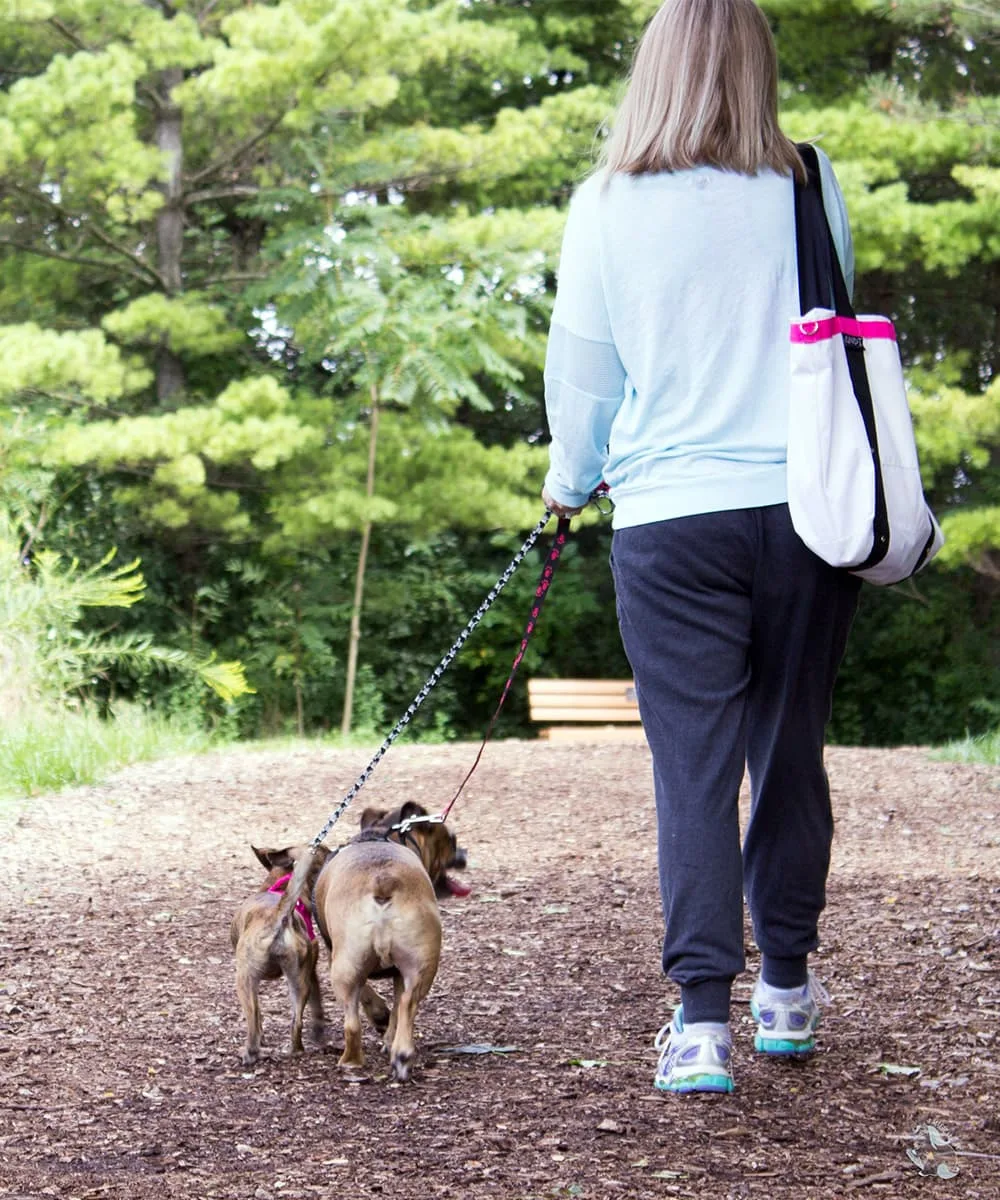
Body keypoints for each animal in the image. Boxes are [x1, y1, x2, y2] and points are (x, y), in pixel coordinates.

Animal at [230, 844, 331, 1070]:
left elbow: (258, 1014)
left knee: (252, 1022)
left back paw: (250, 1053)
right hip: (298, 982)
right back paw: (296, 1050)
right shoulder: (311, 973)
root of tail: (279, 916)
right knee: (296, 1022)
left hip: (244, 980)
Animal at [312, 801, 468, 1084]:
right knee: (405, 1003)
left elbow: (370, 997)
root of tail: (382, 879)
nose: (463, 854)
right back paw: (400, 1055)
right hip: (418, 966)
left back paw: (353, 1060)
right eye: (452, 840)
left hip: (347, 966)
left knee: (357, 1020)